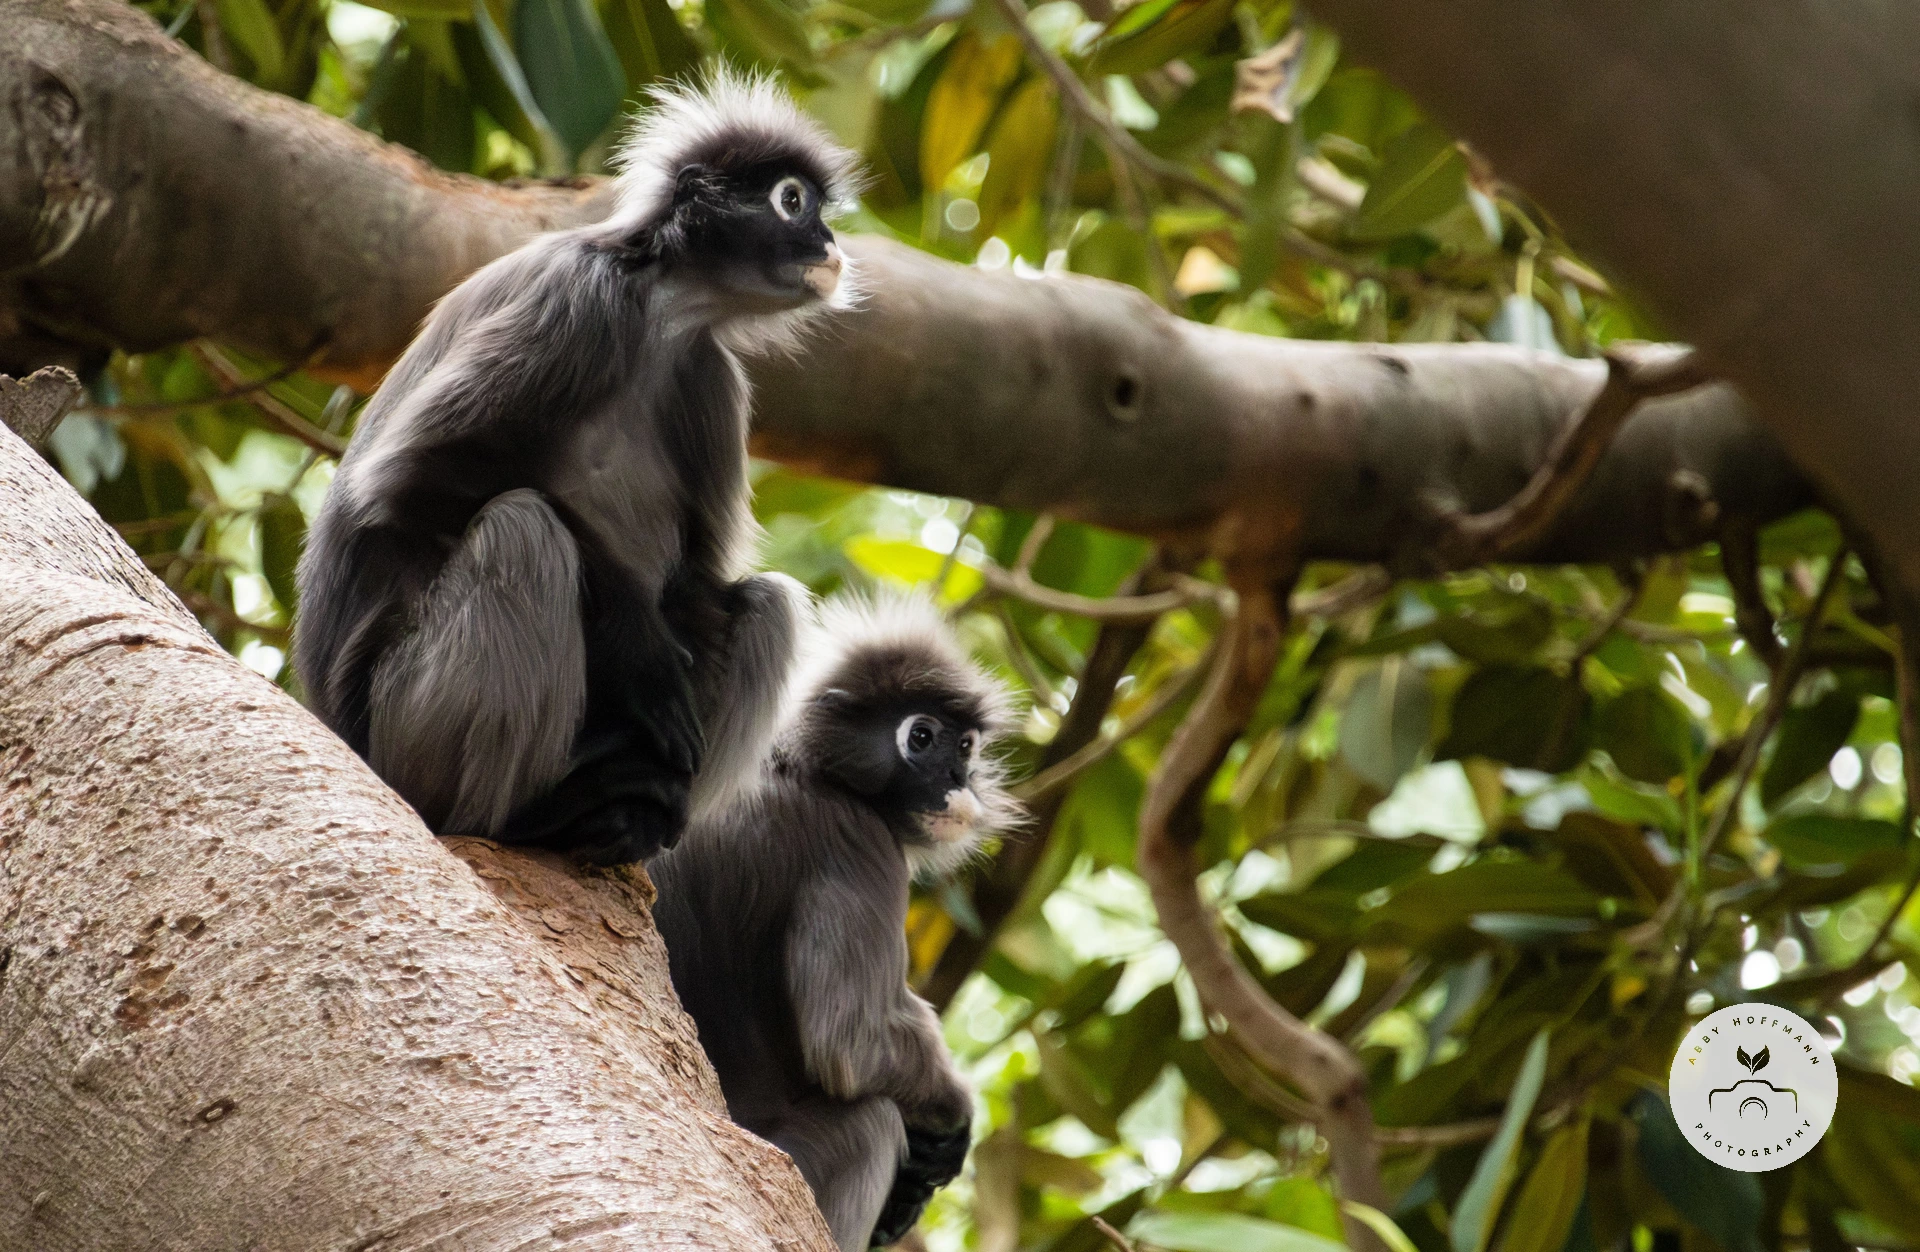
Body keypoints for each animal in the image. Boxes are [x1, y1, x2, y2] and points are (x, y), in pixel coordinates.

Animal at [292, 71, 860, 864]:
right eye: (792, 200)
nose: (829, 242)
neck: (660, 310)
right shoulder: (580, 302)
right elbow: (405, 482)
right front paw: (636, 644)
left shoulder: (708, 374)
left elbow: (699, 581)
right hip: (398, 727)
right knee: (523, 529)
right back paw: (526, 817)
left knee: (767, 602)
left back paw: (632, 818)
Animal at [648, 592, 1023, 1250]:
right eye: (921, 737)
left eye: (965, 747)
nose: (958, 781)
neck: (807, 767)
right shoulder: (856, 844)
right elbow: (850, 1043)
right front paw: (954, 1120)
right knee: (871, 1120)